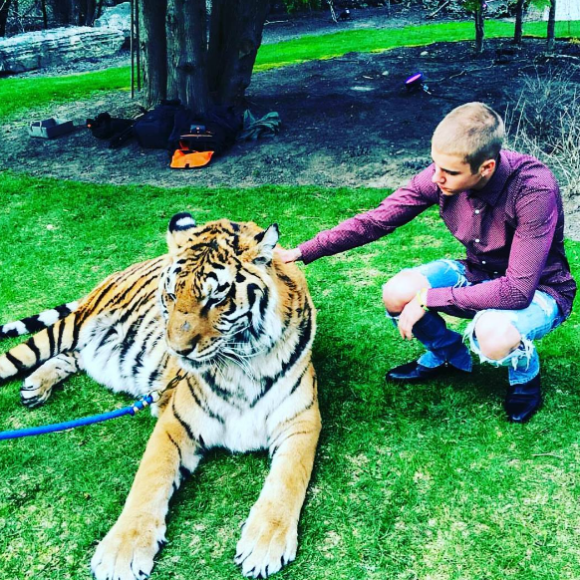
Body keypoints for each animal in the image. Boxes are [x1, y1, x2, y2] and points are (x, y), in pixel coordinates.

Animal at [0, 214, 320, 580]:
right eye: (170, 295)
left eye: (215, 299)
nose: (176, 350)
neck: (240, 365)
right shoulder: (175, 423)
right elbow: (150, 481)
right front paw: (122, 552)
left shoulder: (302, 420)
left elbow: (287, 480)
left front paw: (265, 543)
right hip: (71, 327)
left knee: (72, 356)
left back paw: (34, 387)